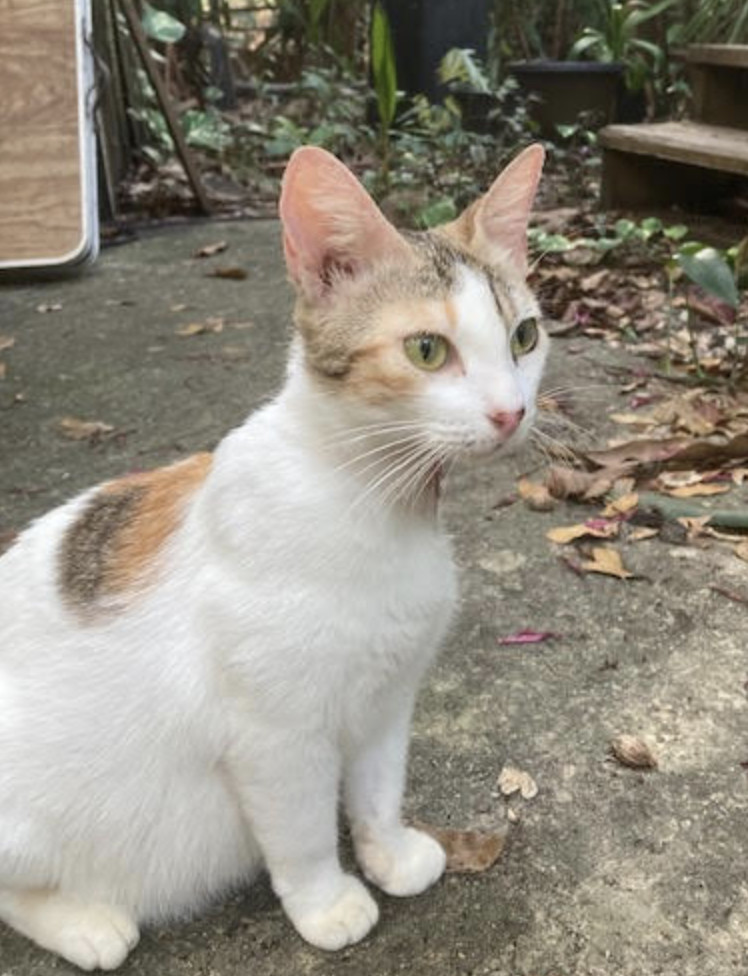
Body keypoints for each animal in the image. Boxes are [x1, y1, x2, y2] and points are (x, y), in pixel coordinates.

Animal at [0, 143, 548, 968]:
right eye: (427, 350)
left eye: (525, 337)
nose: (512, 411)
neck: (372, 502)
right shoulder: (276, 737)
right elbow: (302, 831)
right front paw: (327, 904)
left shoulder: (387, 698)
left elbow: (378, 791)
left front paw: (388, 853)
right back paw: (88, 924)